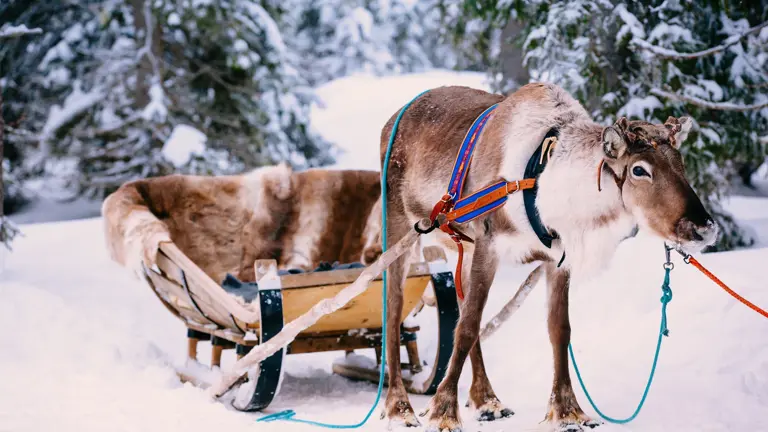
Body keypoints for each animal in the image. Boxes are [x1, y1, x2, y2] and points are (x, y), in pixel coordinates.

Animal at [379, 83, 717, 432]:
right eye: (640, 170)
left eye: (681, 164)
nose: (703, 228)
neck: (548, 186)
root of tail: (394, 118)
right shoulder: (489, 242)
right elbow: (468, 328)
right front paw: (443, 411)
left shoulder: (557, 259)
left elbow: (559, 329)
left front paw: (568, 411)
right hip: (400, 225)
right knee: (394, 309)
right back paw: (399, 407)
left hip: (462, 246)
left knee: (460, 303)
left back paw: (487, 399)